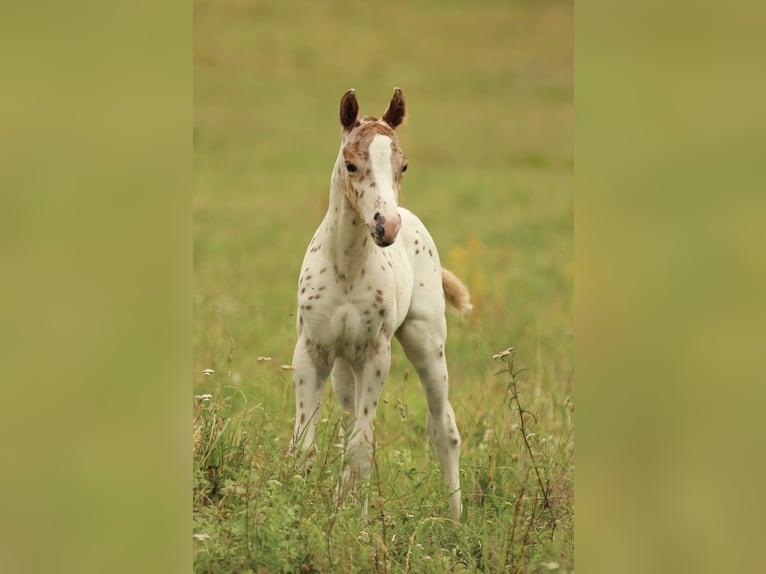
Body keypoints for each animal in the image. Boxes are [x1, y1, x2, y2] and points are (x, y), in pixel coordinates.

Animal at [290, 88, 472, 522]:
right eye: (351, 164)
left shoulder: (377, 353)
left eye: (403, 165)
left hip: (425, 342)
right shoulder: (312, 350)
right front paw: (299, 511)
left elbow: (362, 448)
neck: (347, 267)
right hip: (344, 368)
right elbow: (306, 446)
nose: (385, 225)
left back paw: (456, 523)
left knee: (443, 428)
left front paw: (353, 524)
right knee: (347, 423)